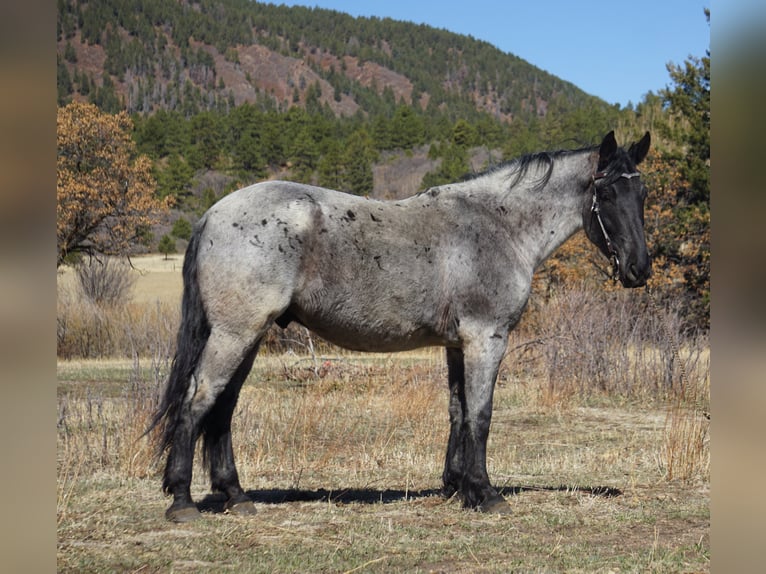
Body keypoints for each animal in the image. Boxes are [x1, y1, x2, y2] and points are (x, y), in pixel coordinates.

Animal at [150, 132, 656, 528]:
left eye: (643, 194)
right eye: (608, 194)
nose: (639, 269)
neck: (497, 225)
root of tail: (212, 214)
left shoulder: (458, 344)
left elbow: (457, 412)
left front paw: (457, 488)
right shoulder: (486, 338)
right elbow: (481, 415)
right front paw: (486, 493)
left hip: (247, 336)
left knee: (222, 409)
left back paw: (236, 496)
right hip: (235, 334)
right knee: (198, 401)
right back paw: (182, 501)